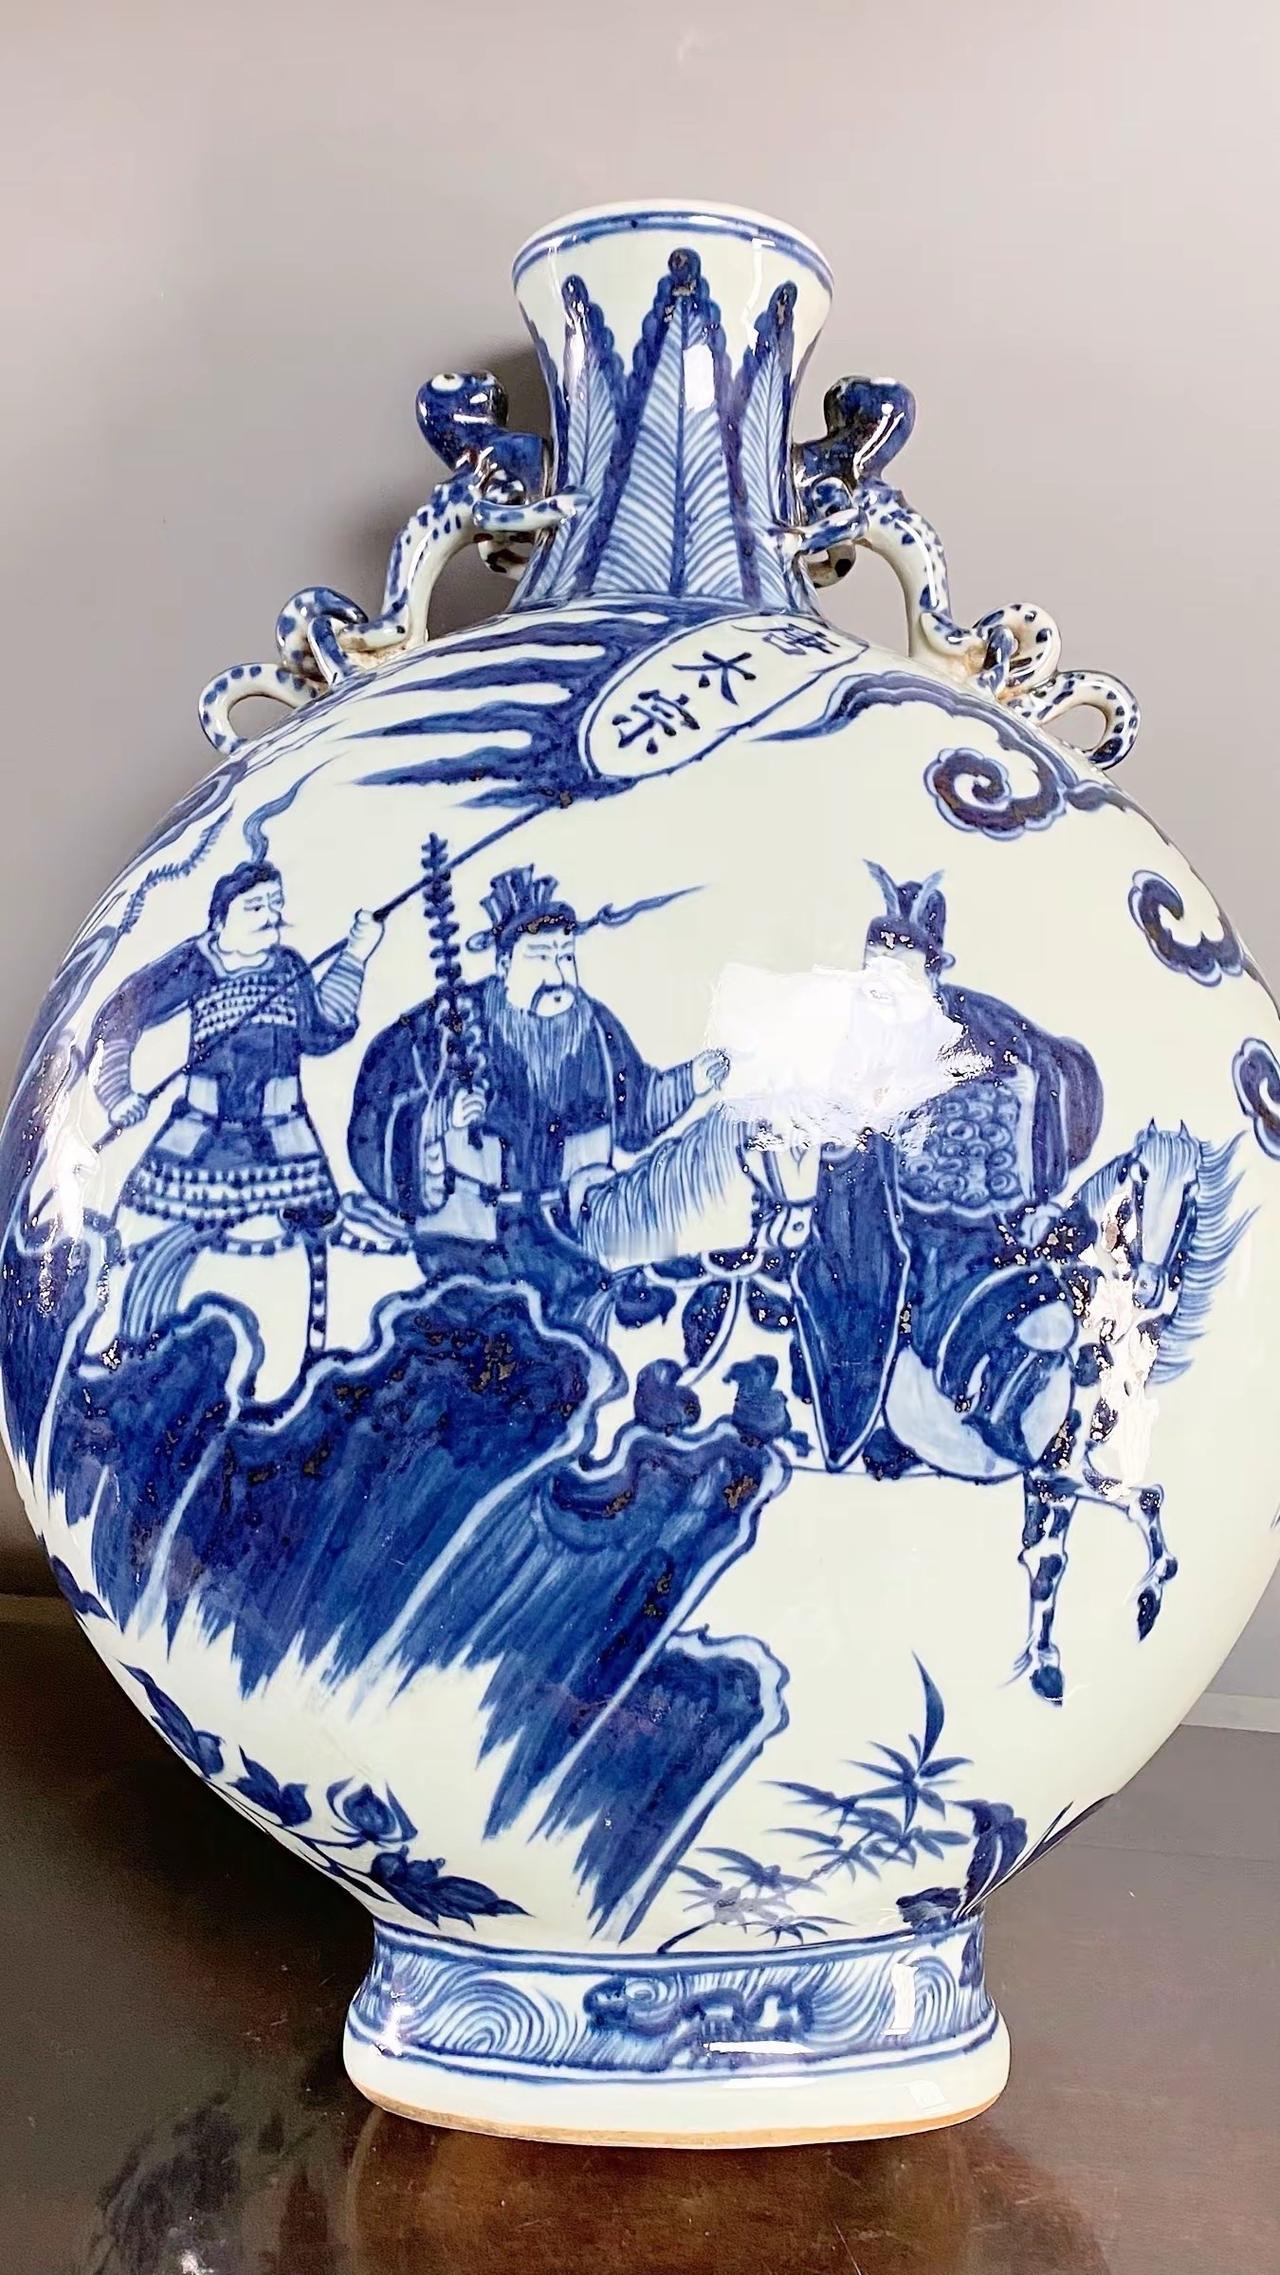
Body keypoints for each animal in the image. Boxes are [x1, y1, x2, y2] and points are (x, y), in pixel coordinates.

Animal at [873, 1121, 1249, 1700]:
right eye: (1139, 1178)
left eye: (1189, 1190)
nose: (1148, 1285)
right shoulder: (1056, 1468)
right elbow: (1143, 1500)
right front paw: (1143, 1605)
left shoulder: (1056, 1480)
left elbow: (1049, 1560)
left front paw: (1048, 1662)